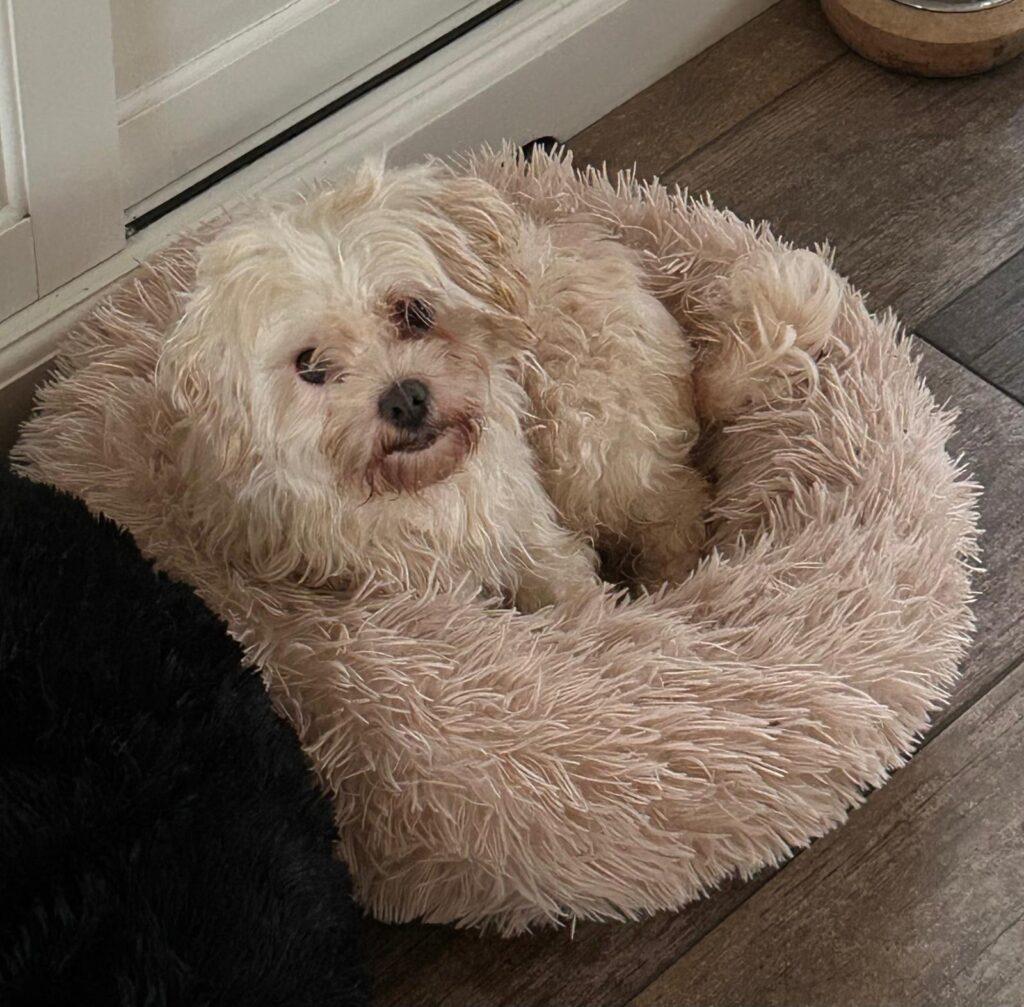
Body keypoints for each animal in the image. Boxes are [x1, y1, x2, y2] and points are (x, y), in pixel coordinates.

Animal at [157, 160, 710, 610]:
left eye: (414, 311)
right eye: (310, 364)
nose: (404, 399)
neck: (418, 494)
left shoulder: (526, 530)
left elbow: (572, 595)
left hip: (590, 438)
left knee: (675, 501)